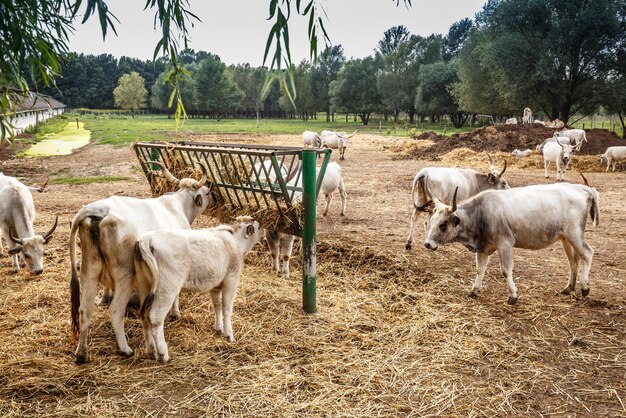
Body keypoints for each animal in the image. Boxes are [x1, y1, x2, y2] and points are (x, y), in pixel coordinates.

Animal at [70, 162, 213, 364]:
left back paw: (82, 353)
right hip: (123, 276)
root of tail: (99, 209)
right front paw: (175, 313)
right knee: (115, 310)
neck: (177, 207)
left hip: (89, 271)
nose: (212, 195)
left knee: (84, 310)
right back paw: (124, 349)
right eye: (206, 192)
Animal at [133, 217, 260, 360]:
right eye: (258, 227)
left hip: (145, 285)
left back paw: (151, 351)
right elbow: (227, 308)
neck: (235, 242)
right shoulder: (231, 280)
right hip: (167, 288)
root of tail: (147, 238)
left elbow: (217, 306)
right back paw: (163, 354)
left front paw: (219, 328)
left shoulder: (216, 286)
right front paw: (229, 335)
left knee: (144, 314)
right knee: (155, 317)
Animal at [422, 181, 596, 306]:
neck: (481, 213)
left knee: (587, 253)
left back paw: (585, 287)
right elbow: (480, 269)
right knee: (573, 261)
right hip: (566, 238)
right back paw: (569, 288)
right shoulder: (483, 247)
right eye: (431, 221)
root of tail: (582, 188)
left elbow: (506, 270)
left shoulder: (504, 243)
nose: (427, 244)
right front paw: (474, 291)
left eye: (443, 225)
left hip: (574, 234)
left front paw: (513, 295)